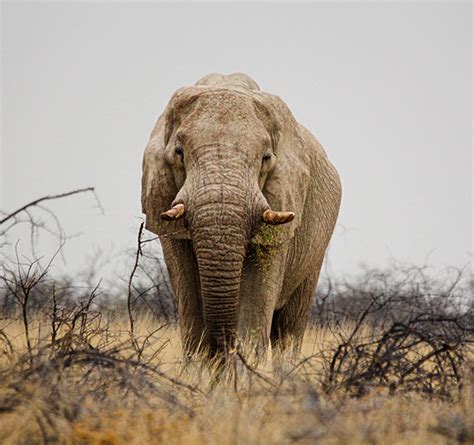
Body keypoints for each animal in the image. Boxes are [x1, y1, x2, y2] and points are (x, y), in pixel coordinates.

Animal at [141, 71, 340, 360]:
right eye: (179, 152)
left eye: (266, 158)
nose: (222, 350)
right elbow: (187, 290)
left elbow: (257, 294)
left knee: (289, 328)